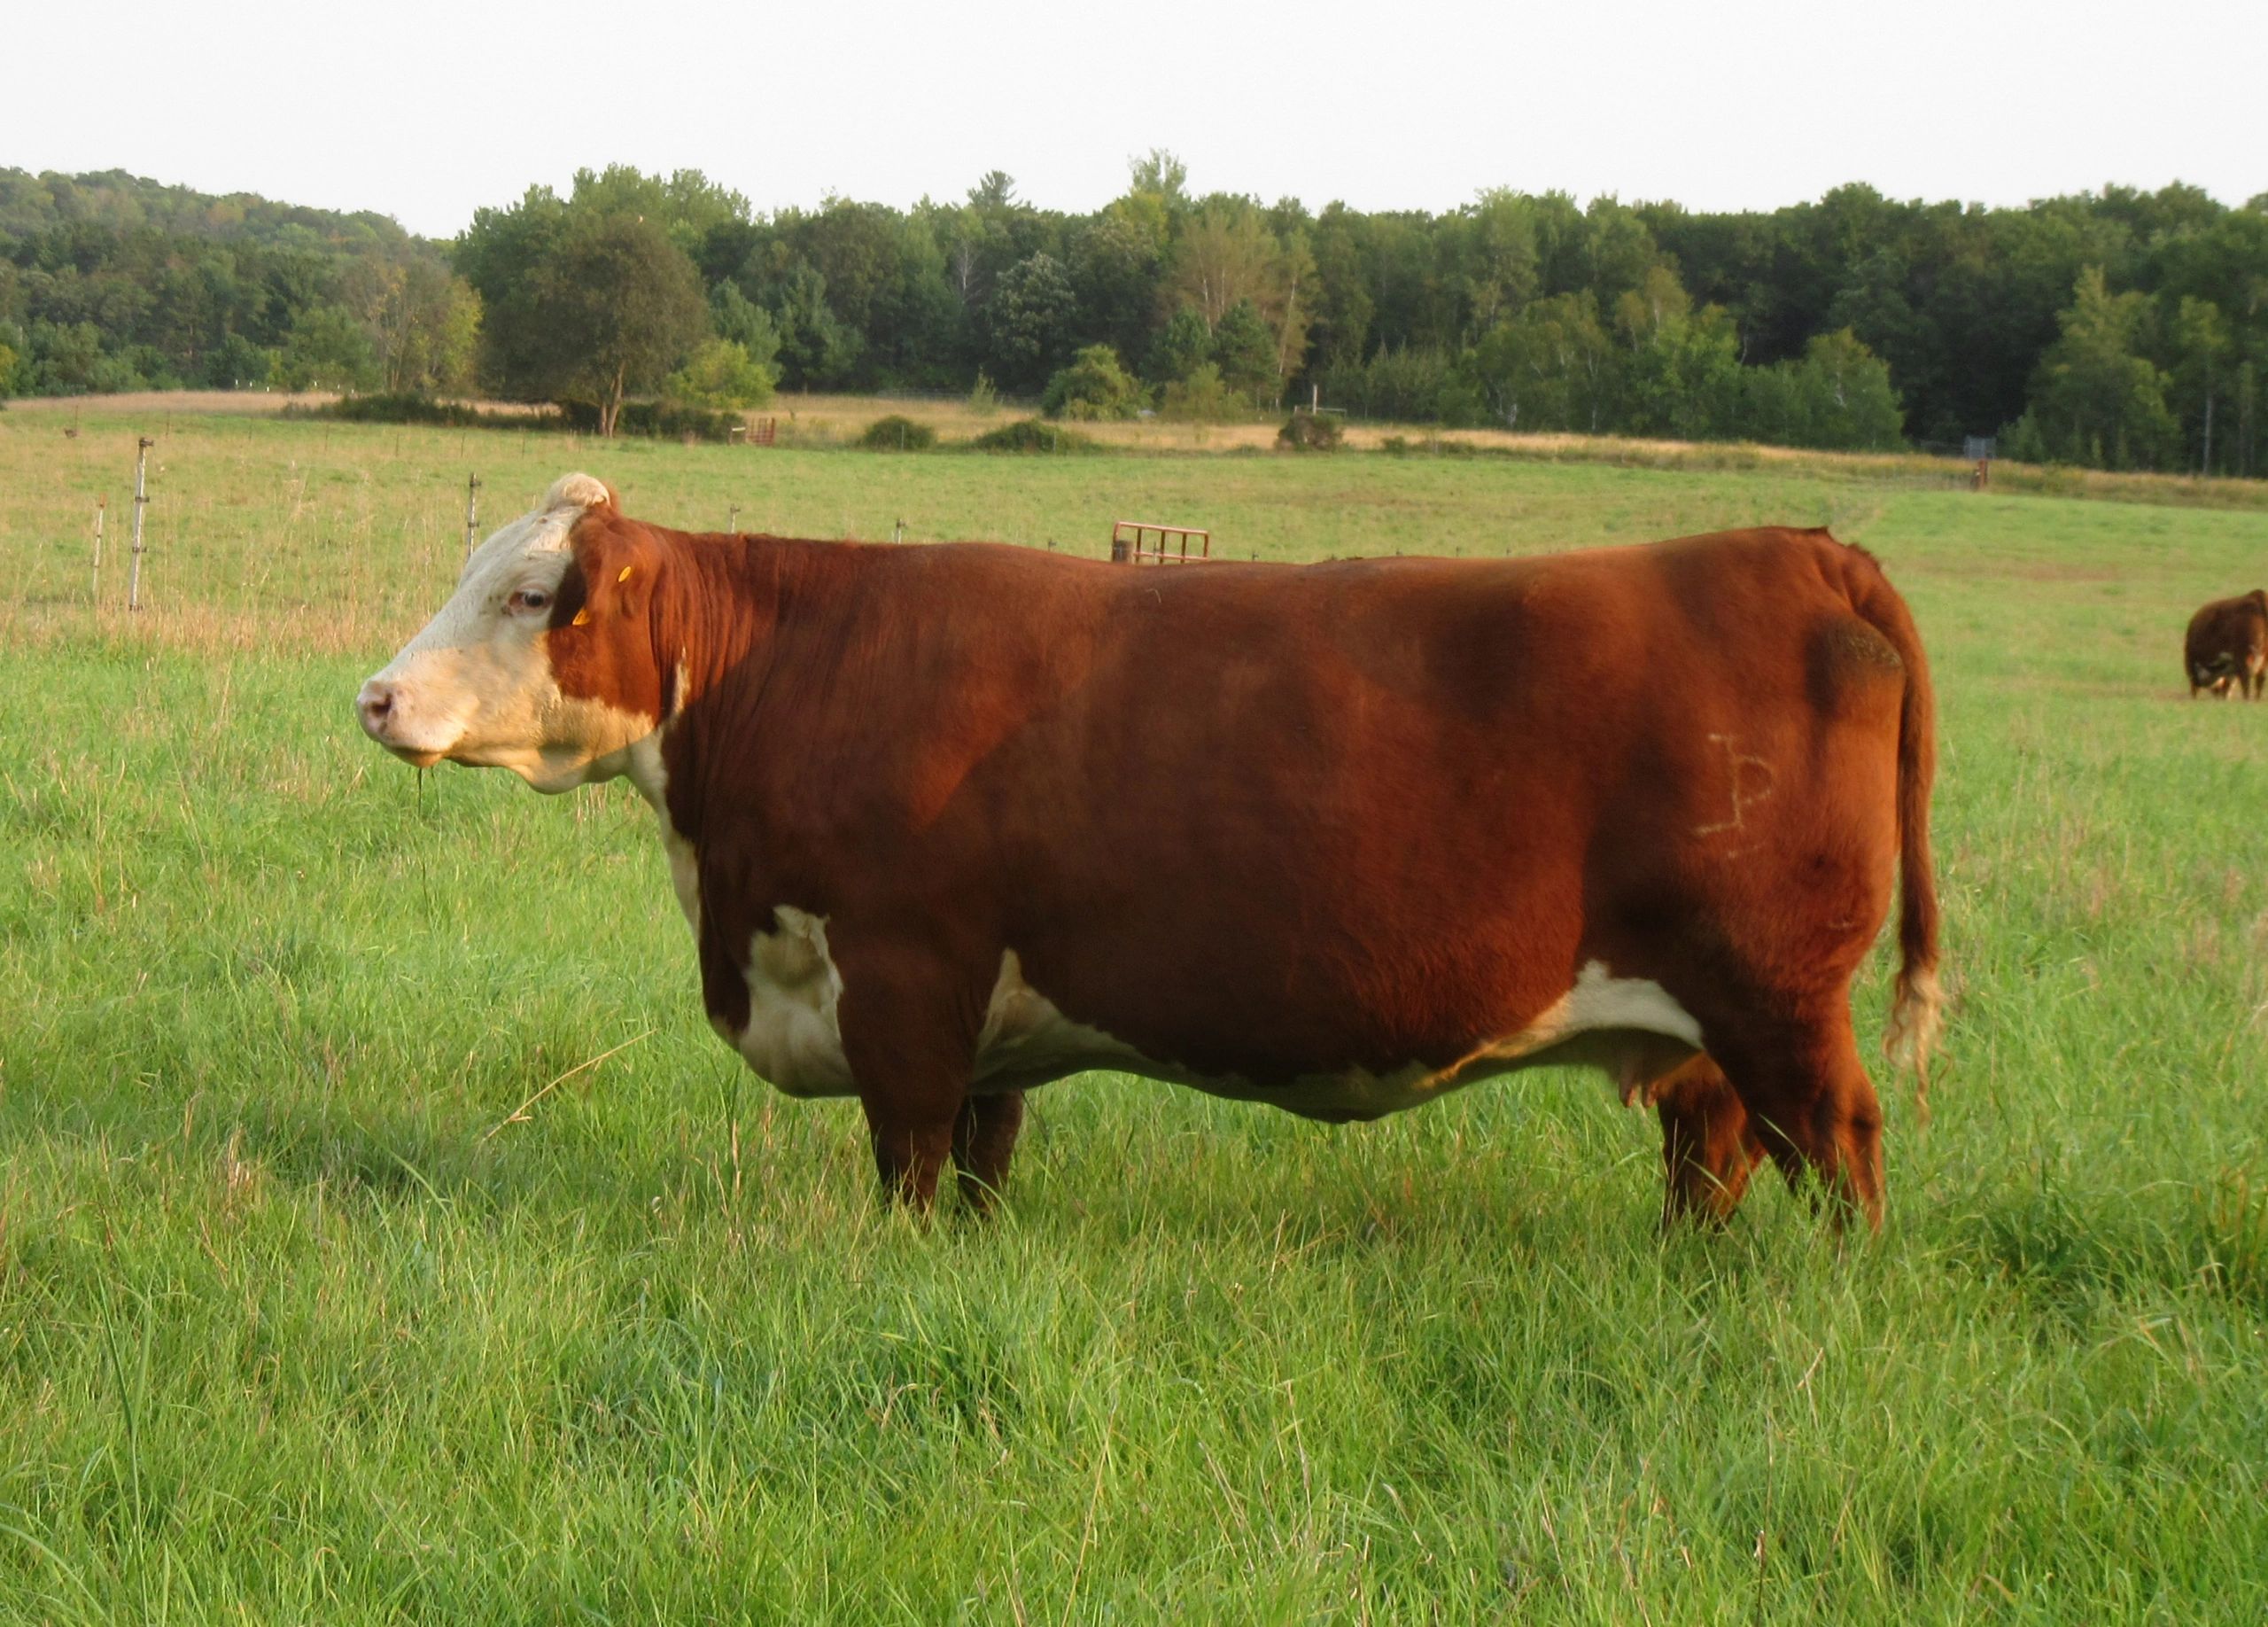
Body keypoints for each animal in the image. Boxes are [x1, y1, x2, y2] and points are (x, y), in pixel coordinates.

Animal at [357, 475, 1941, 1230]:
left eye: (528, 593)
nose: (374, 697)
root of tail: (1800, 546)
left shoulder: (905, 977)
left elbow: (909, 1162)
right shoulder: (984, 1012)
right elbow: (982, 1165)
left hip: (1779, 993)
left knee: (1839, 1146)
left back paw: (1828, 1293)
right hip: (1707, 1022)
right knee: (1713, 1150)